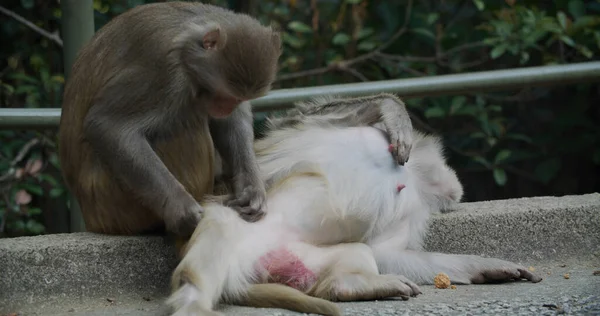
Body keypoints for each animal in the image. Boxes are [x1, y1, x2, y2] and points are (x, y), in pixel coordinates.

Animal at [57, 1, 282, 236]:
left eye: (238, 98)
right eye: (224, 95)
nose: (225, 108)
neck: (186, 47)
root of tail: (91, 218)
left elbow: (229, 123)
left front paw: (251, 190)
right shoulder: (161, 69)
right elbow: (108, 125)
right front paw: (181, 209)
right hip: (117, 204)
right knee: (188, 124)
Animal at [166, 93, 540, 316]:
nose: (454, 189)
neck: (408, 173)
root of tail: (250, 268)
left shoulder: (412, 207)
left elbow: (386, 253)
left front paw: (486, 266)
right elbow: (293, 119)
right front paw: (392, 110)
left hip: (296, 258)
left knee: (355, 253)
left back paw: (348, 286)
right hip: (237, 226)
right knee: (220, 227)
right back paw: (192, 302)